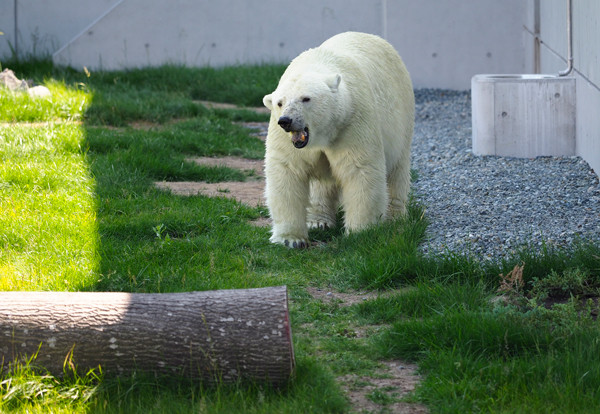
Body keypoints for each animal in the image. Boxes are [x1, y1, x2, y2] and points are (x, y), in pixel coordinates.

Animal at [262, 32, 412, 247]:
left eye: (306, 98)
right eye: (279, 103)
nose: (286, 121)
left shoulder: (353, 122)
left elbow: (360, 171)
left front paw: (360, 233)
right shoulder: (284, 139)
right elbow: (287, 171)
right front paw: (290, 239)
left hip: (403, 116)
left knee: (398, 170)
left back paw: (396, 218)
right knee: (322, 184)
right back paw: (318, 221)